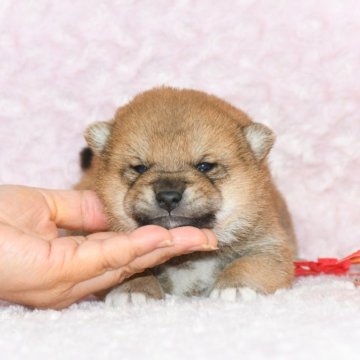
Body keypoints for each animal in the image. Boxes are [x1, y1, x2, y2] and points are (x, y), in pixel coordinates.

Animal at [75, 87, 296, 304]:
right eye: (140, 168)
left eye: (205, 166)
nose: (168, 197)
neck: (186, 258)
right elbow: (136, 271)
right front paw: (134, 289)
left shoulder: (268, 245)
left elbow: (251, 262)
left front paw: (235, 286)